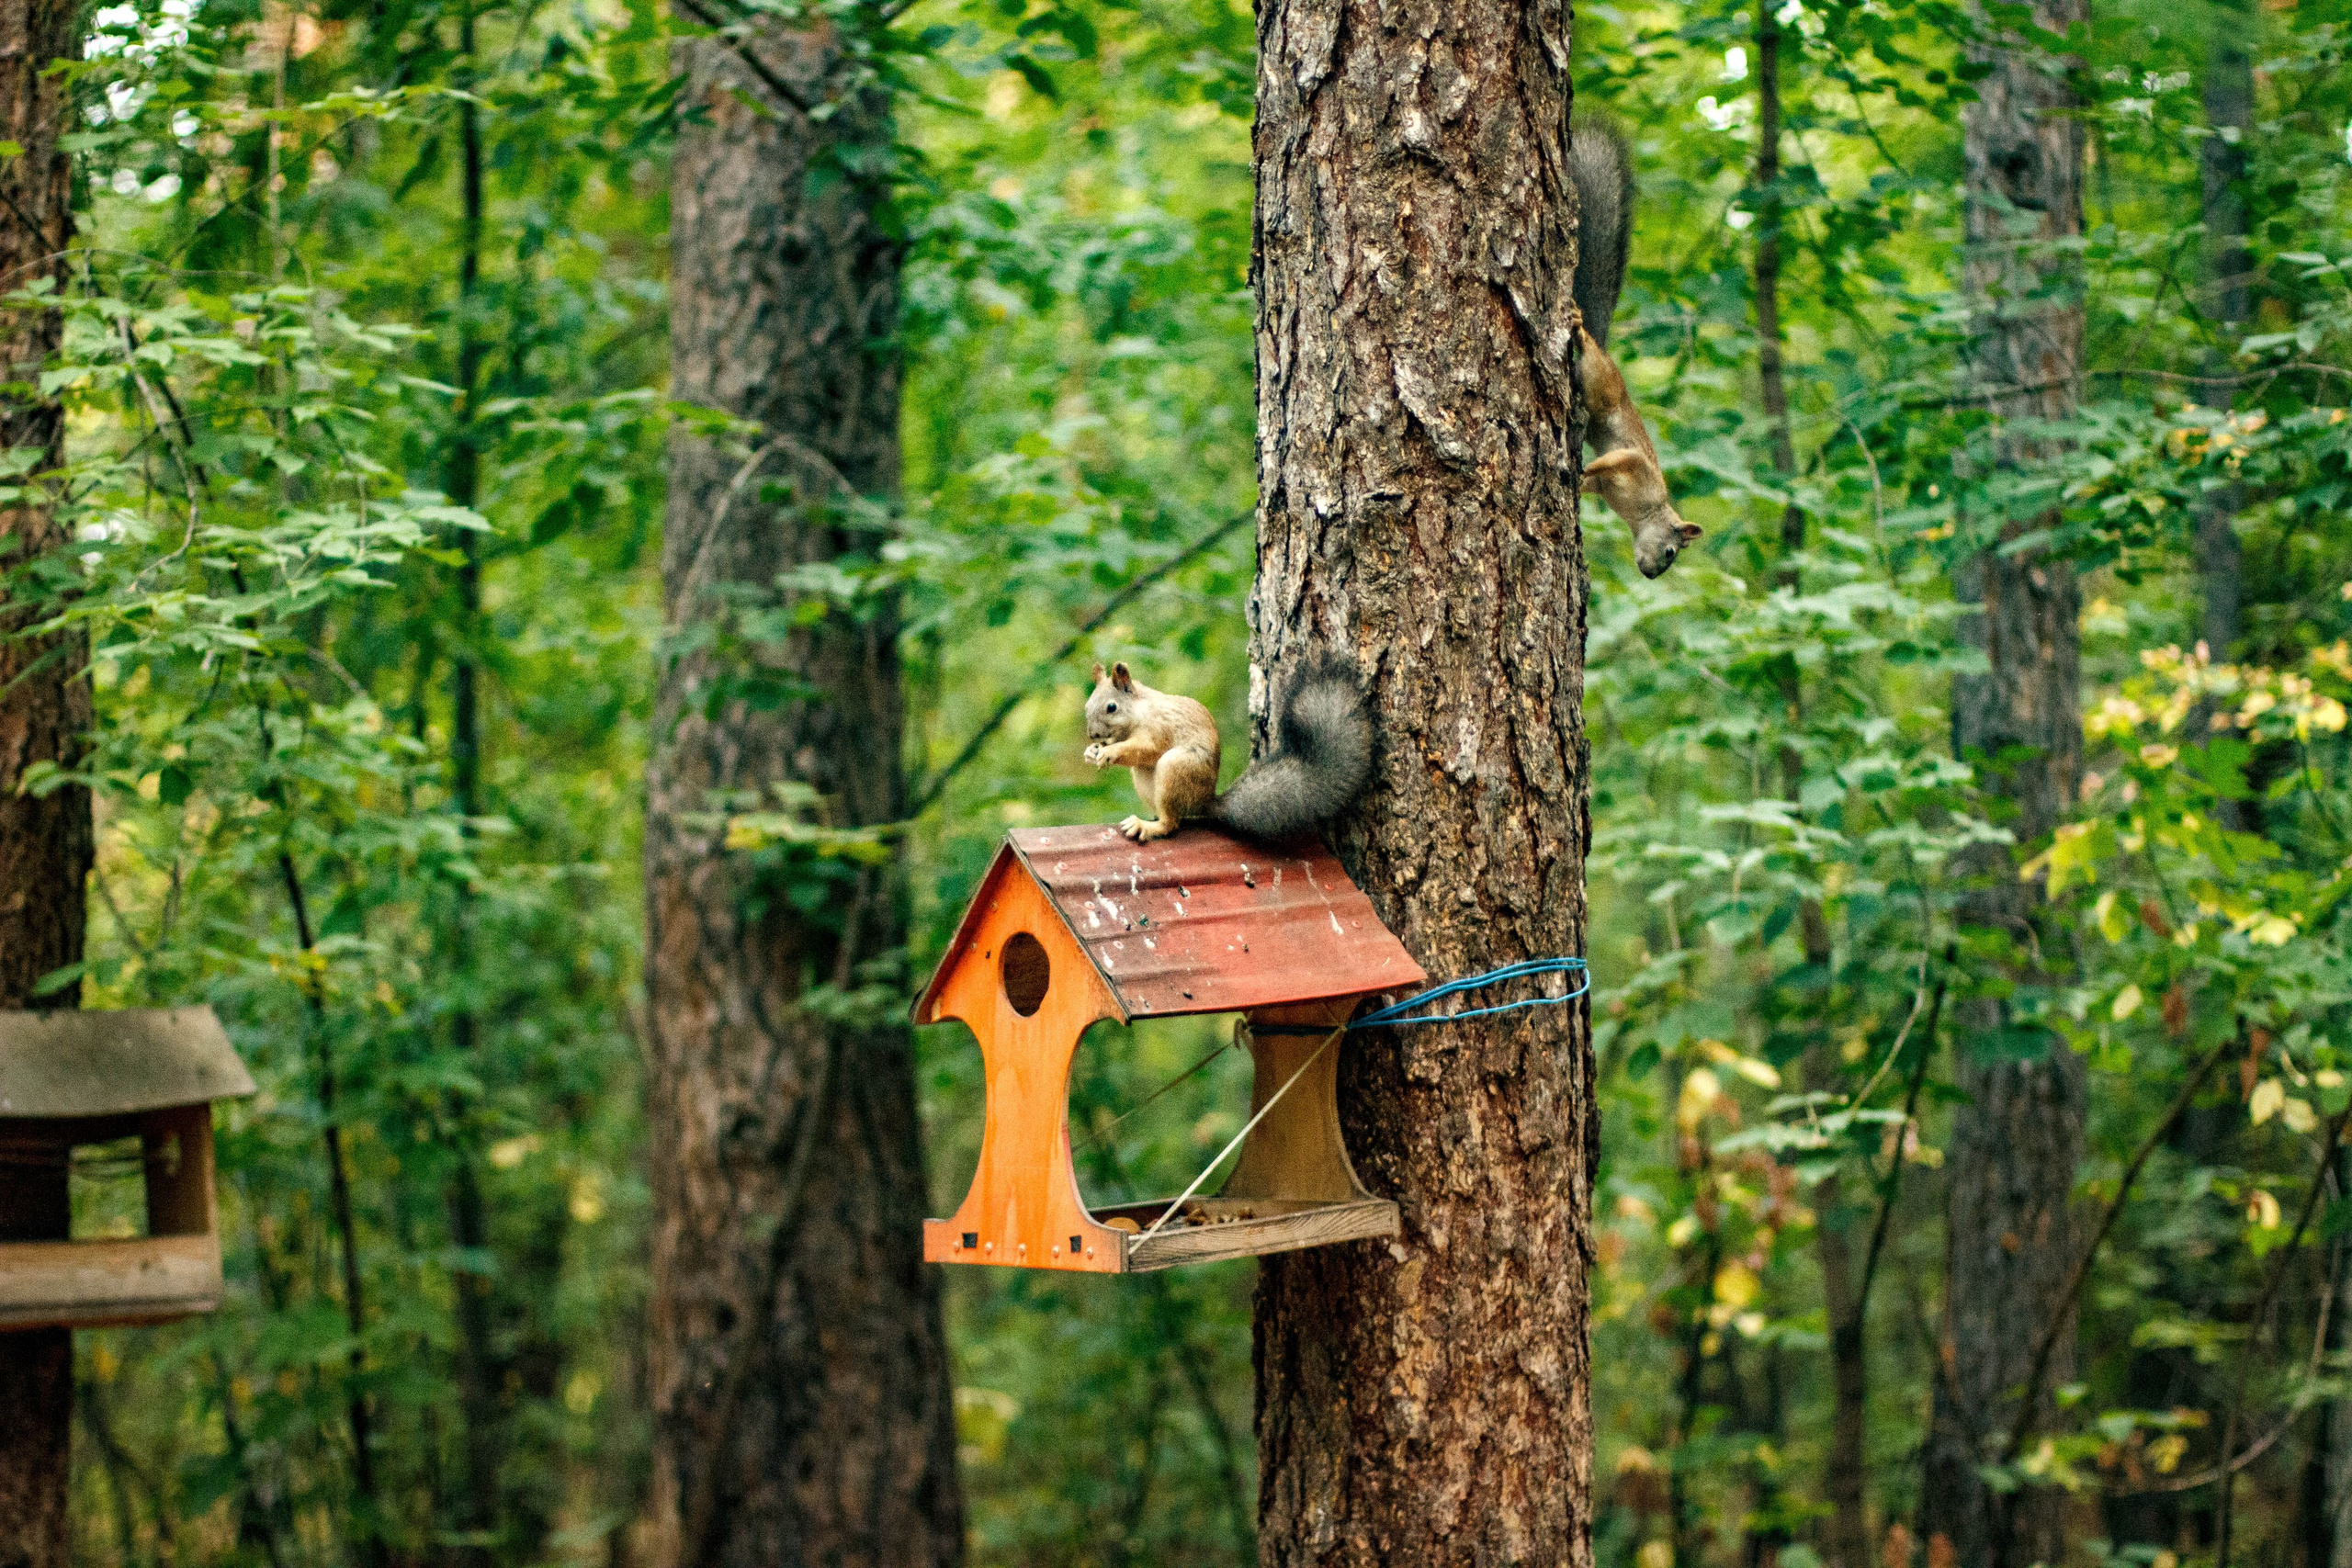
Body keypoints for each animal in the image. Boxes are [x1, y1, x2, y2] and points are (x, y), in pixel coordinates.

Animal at [1082, 655, 1371, 843]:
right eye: (1087, 706)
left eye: (1111, 707)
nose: (1092, 734)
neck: (1139, 711)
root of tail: (1206, 802)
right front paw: (1092, 751)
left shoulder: (1158, 728)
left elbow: (1146, 749)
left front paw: (1109, 752)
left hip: (1177, 767)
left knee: (1172, 823)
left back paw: (1147, 826)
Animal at [1570, 114, 1703, 580]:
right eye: (1671, 553)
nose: (1651, 574)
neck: (1644, 513)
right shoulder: (1638, 468)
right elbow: (1619, 458)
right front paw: (1583, 466)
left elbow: (1596, 479)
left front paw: (1581, 479)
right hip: (1601, 384)